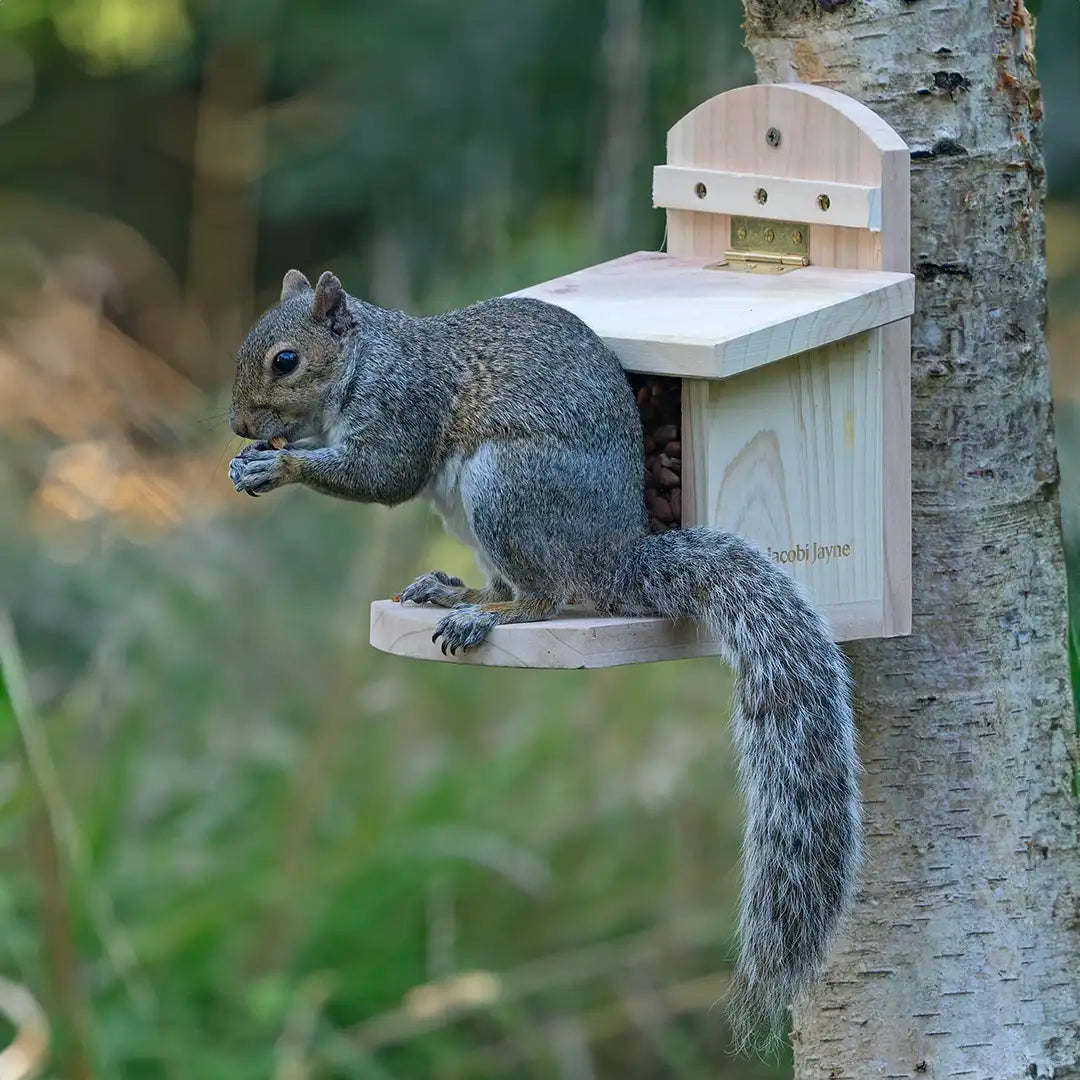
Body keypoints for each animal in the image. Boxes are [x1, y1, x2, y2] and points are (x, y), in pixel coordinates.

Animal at [228, 268, 860, 1047]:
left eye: (285, 360)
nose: (239, 427)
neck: (365, 361)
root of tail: (617, 558)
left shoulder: (402, 405)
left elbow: (382, 474)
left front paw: (280, 463)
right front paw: (248, 465)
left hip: (508, 491)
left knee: (548, 595)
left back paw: (491, 615)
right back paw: (456, 592)